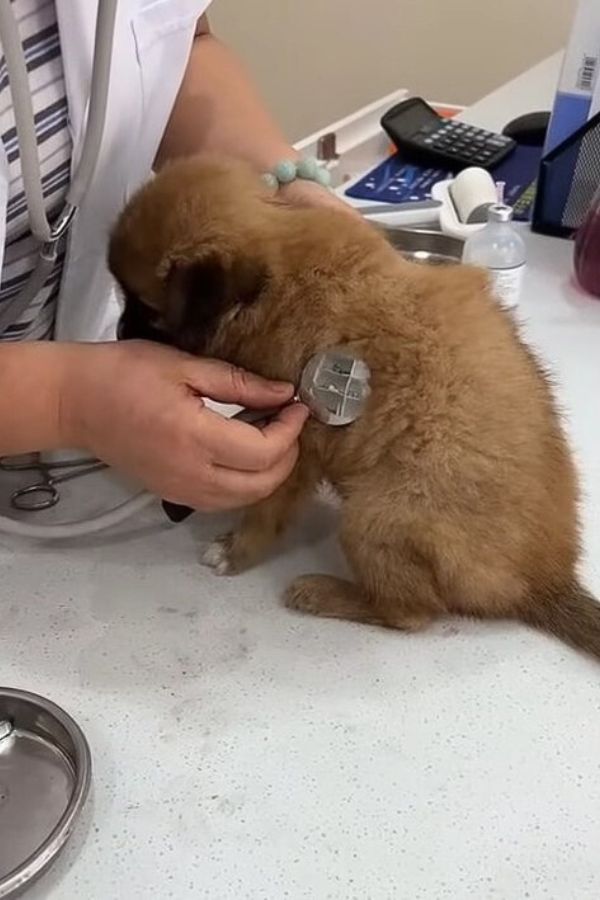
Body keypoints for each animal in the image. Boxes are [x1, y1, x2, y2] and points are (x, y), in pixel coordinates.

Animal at [109, 156, 600, 660]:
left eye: (147, 308)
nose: (119, 334)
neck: (277, 273)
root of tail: (544, 582)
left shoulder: (296, 446)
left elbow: (266, 513)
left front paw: (235, 550)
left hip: (372, 519)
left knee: (408, 613)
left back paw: (325, 593)